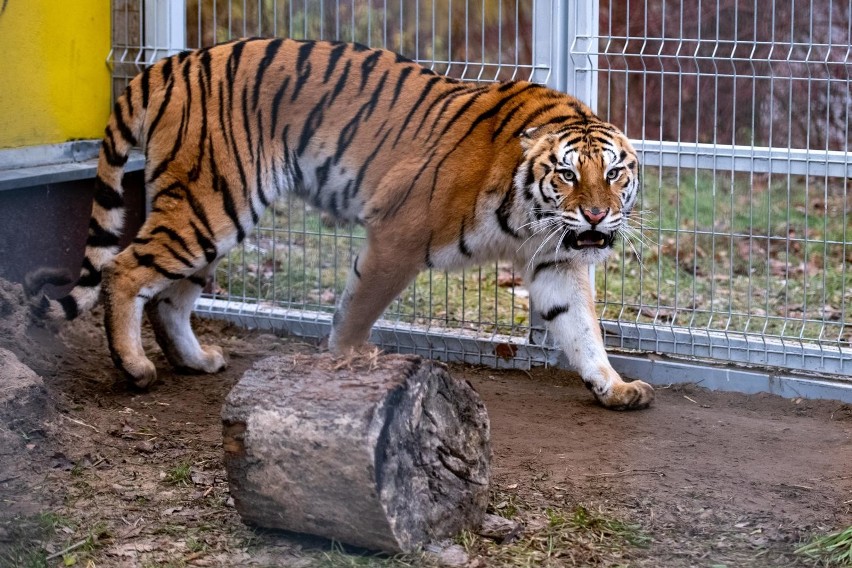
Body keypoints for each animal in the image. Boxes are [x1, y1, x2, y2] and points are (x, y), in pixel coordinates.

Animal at [26, 37, 652, 410]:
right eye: (567, 174)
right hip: (208, 208)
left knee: (168, 298)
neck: (530, 216)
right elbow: (357, 307)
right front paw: (346, 361)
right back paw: (134, 368)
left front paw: (616, 386)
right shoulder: (398, 235)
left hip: (212, 217)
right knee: (124, 270)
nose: (596, 214)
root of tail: (165, 64)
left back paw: (197, 362)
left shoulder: (559, 261)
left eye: (614, 172)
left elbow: (582, 330)